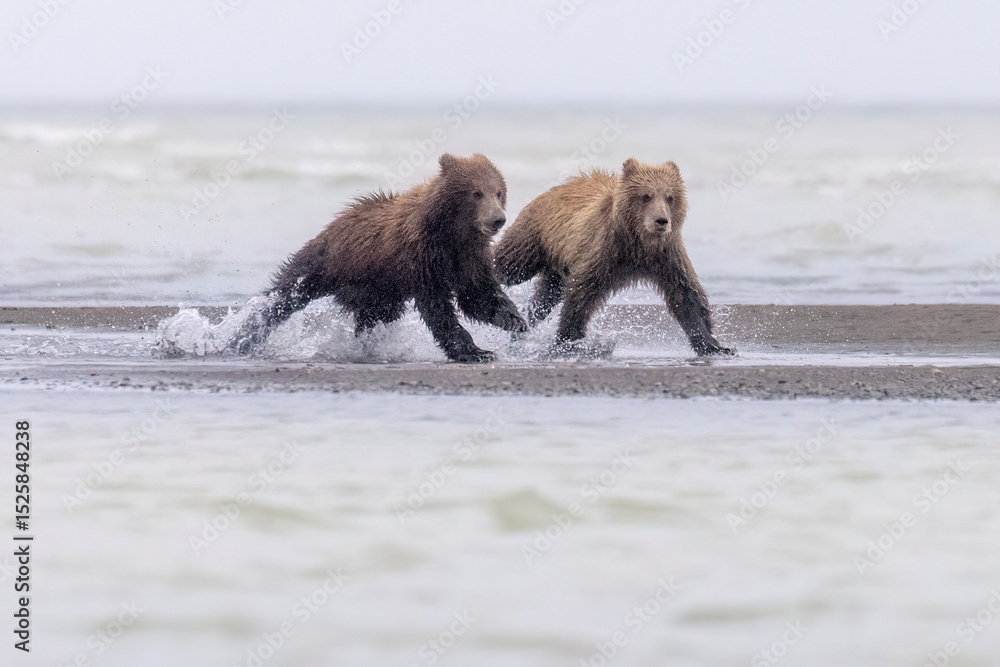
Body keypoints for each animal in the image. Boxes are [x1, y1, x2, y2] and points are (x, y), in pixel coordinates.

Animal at [230, 153, 527, 362]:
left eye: (498, 191)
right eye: (476, 193)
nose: (498, 219)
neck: (451, 233)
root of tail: (335, 223)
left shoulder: (469, 257)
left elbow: (477, 295)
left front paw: (515, 321)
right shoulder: (422, 257)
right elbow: (438, 309)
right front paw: (475, 351)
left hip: (377, 289)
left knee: (373, 316)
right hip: (325, 263)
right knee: (284, 296)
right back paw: (240, 339)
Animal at [494, 158, 734, 356]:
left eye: (670, 197)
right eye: (646, 196)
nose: (661, 220)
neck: (638, 244)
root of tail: (557, 187)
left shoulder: (666, 257)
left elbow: (685, 296)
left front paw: (716, 345)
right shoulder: (604, 252)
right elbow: (581, 296)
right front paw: (567, 340)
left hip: (559, 262)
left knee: (545, 295)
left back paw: (524, 326)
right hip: (534, 238)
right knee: (509, 266)